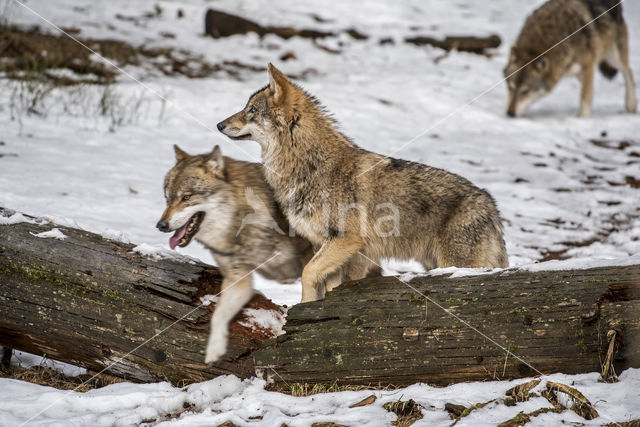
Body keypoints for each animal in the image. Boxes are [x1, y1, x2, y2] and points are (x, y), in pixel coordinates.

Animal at [218, 63, 508, 304]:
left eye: (251, 110)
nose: (219, 124)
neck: (311, 165)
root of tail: (491, 205)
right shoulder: (333, 248)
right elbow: (330, 285)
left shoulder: (347, 241)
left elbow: (307, 272)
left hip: (455, 264)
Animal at [504, 0, 636, 117]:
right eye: (510, 88)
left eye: (525, 92)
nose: (510, 113)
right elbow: (588, 92)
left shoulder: (588, 65)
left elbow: (585, 97)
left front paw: (583, 118)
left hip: (613, 58)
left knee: (628, 71)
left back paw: (631, 104)